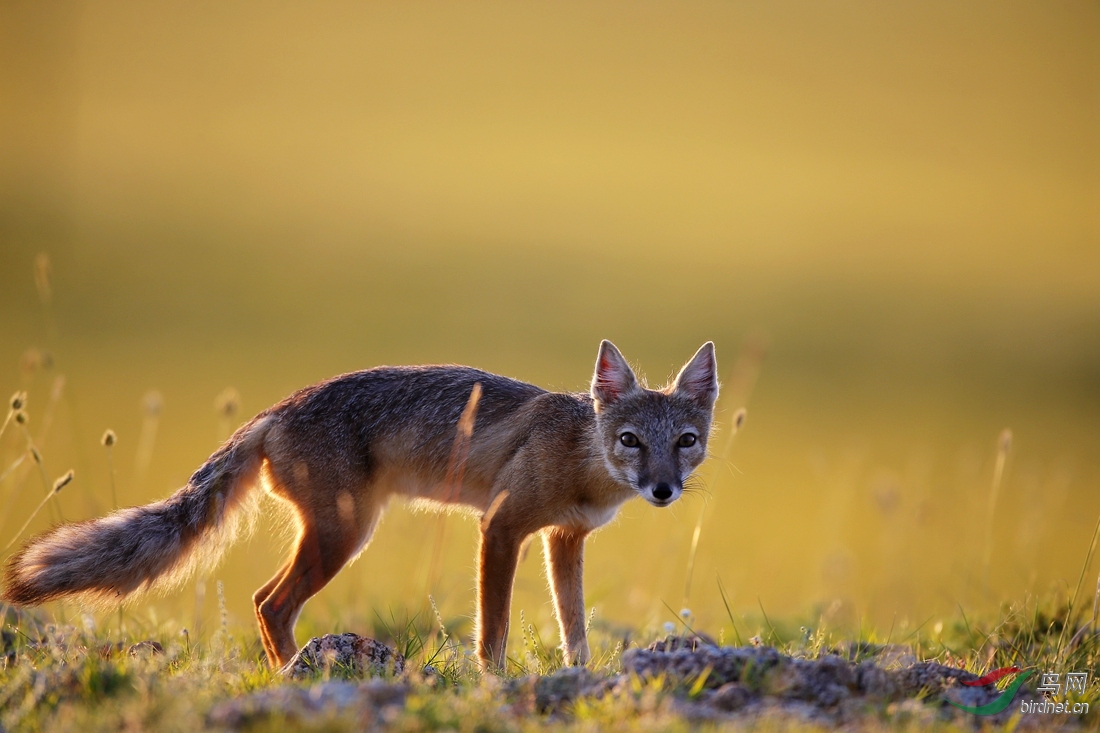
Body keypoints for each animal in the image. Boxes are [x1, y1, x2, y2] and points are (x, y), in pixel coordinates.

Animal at [0, 338, 717, 669]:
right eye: (630, 440)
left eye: (685, 442)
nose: (662, 489)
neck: (579, 454)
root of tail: (276, 407)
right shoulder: (501, 526)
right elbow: (494, 628)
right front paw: (494, 684)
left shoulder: (563, 540)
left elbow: (575, 628)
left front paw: (575, 679)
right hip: (342, 537)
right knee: (268, 601)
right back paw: (296, 675)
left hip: (336, 536)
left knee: (266, 600)